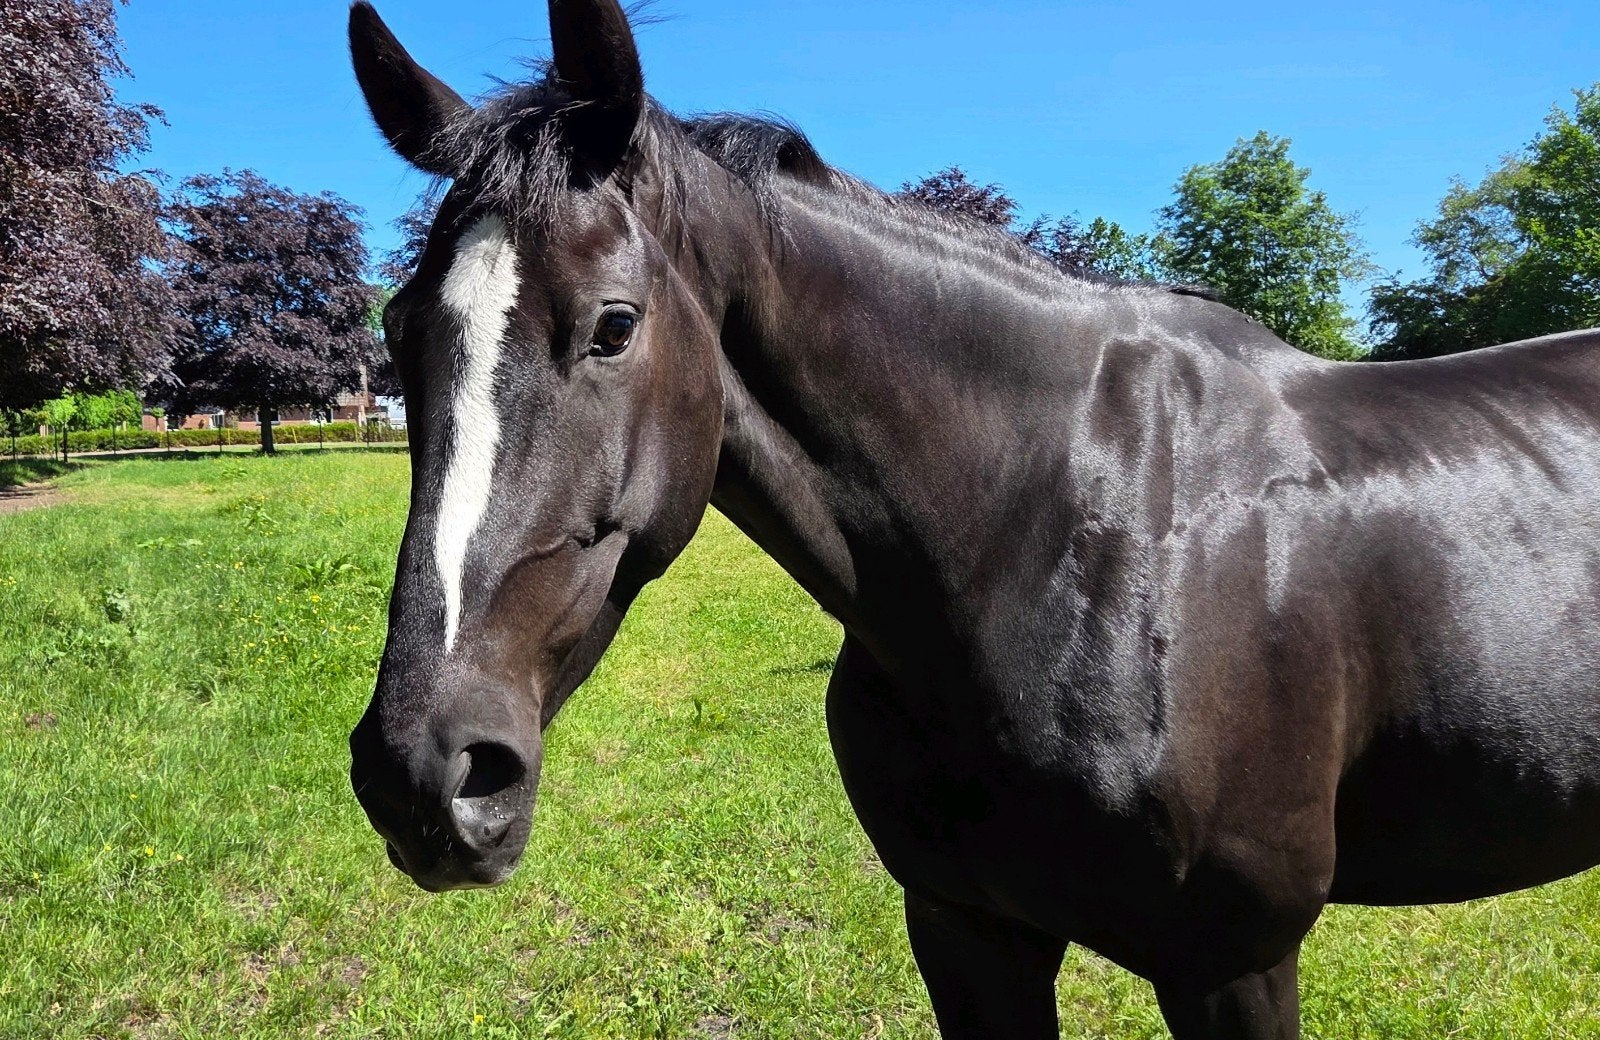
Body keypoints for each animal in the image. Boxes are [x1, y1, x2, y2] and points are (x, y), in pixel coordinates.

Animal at [345, 2, 1600, 1036]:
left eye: (613, 325)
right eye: (400, 328)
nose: (424, 770)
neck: (1058, 539)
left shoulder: (1233, 964)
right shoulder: (964, 929)